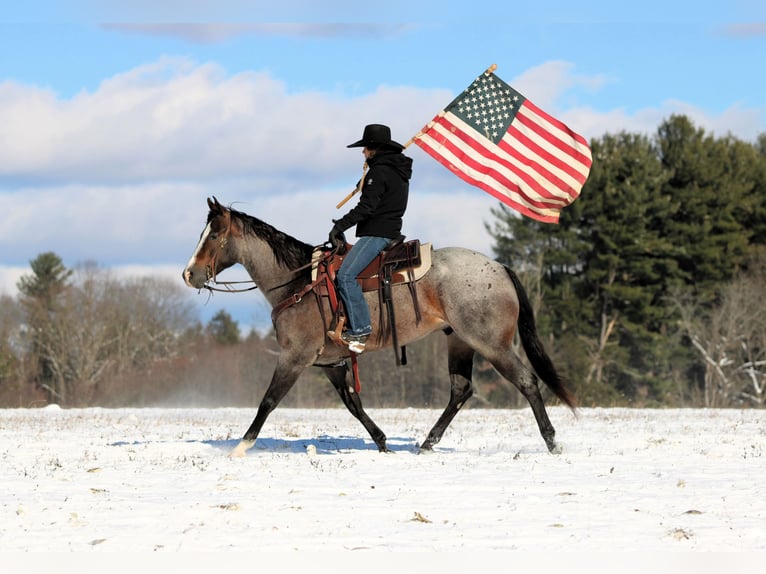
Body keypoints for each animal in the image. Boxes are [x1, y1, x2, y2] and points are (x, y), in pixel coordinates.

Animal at [183, 196, 577, 457]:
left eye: (213, 236)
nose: (189, 274)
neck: (298, 282)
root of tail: (500, 268)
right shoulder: (330, 362)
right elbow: (352, 403)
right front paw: (383, 443)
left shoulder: (295, 356)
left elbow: (268, 400)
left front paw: (240, 447)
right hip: (460, 342)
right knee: (461, 390)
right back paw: (427, 444)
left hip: (492, 345)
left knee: (526, 382)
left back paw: (553, 443)